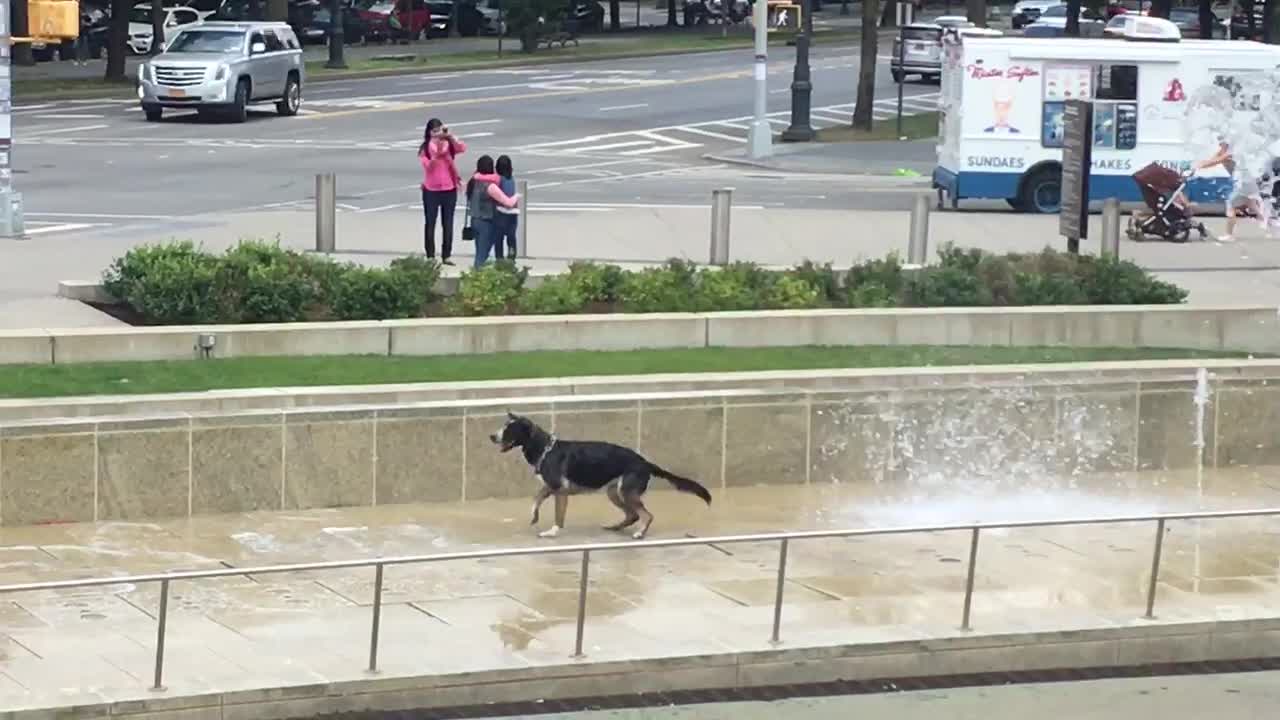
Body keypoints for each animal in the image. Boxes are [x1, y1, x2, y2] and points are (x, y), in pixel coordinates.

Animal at [486, 412, 711, 535]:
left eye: (509, 429)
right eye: (503, 427)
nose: (491, 436)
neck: (545, 449)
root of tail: (645, 462)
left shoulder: (560, 490)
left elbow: (558, 515)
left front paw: (553, 531)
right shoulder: (550, 487)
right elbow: (536, 499)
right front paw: (534, 517)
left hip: (626, 491)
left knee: (646, 515)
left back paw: (639, 534)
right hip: (614, 492)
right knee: (632, 515)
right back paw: (615, 528)